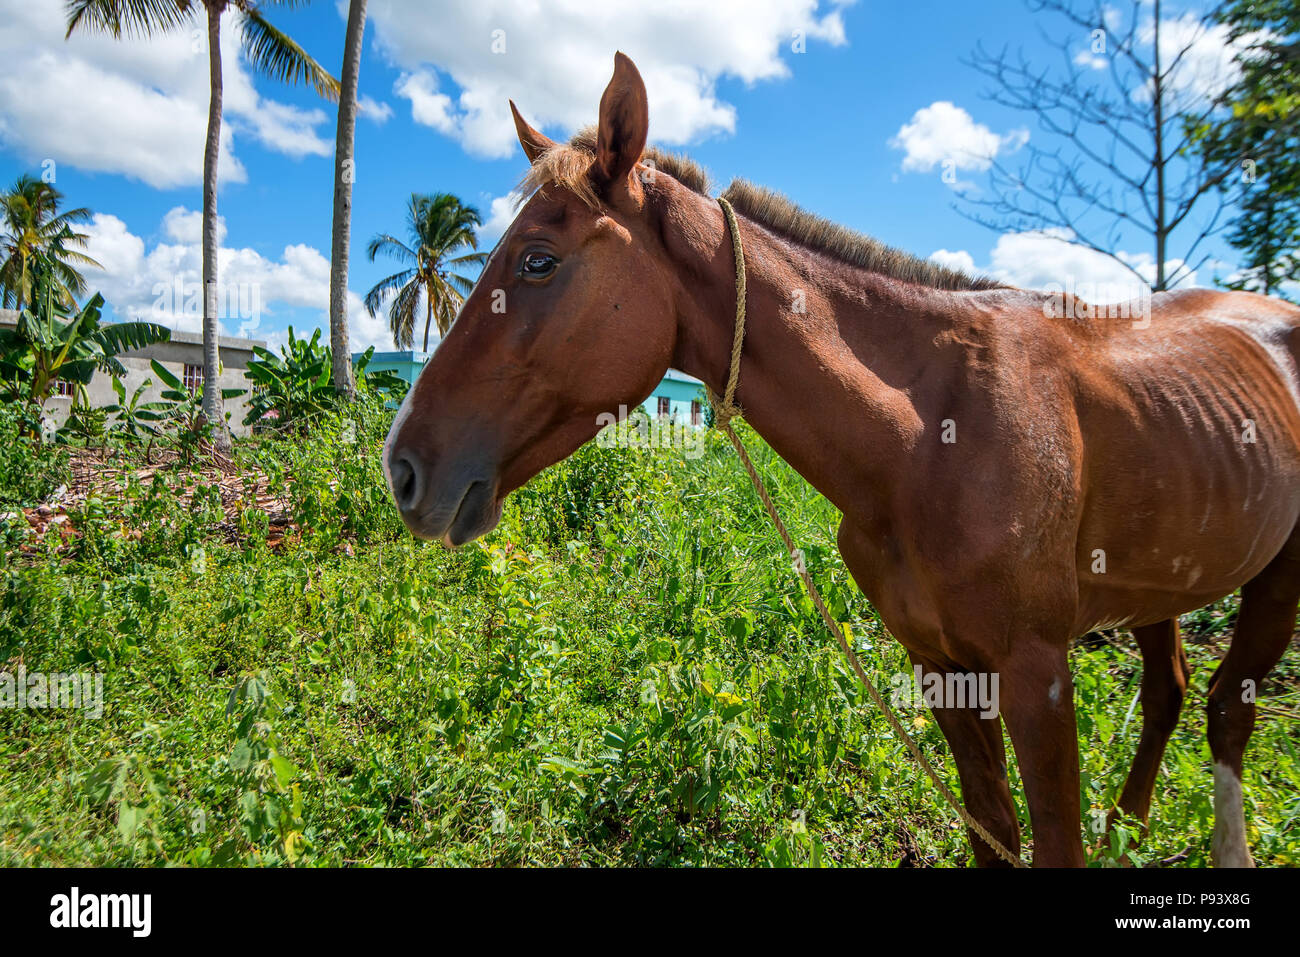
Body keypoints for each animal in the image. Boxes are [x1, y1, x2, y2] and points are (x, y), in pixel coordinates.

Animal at [384, 53, 1300, 867]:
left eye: (538, 260)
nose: (404, 467)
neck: (930, 436)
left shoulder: (1037, 676)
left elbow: (1052, 842)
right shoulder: (942, 669)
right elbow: (993, 832)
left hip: (1274, 577)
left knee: (1227, 710)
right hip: (1161, 578)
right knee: (1169, 693)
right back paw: (1130, 833)